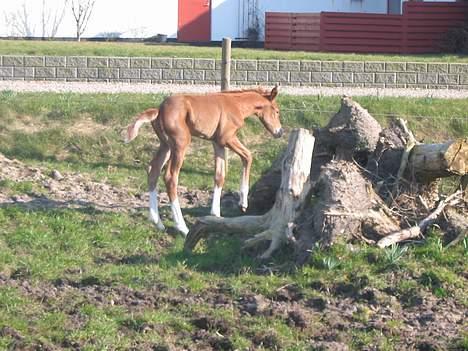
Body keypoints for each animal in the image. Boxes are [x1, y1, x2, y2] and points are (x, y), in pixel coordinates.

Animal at [124, 86, 284, 236]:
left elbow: (220, 176)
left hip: (165, 145)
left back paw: (157, 222)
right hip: (180, 143)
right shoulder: (226, 138)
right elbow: (248, 156)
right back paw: (182, 227)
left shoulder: (217, 142)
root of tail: (159, 110)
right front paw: (243, 202)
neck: (236, 104)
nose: (280, 132)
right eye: (276, 111)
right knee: (170, 177)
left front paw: (215, 216)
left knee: (153, 169)